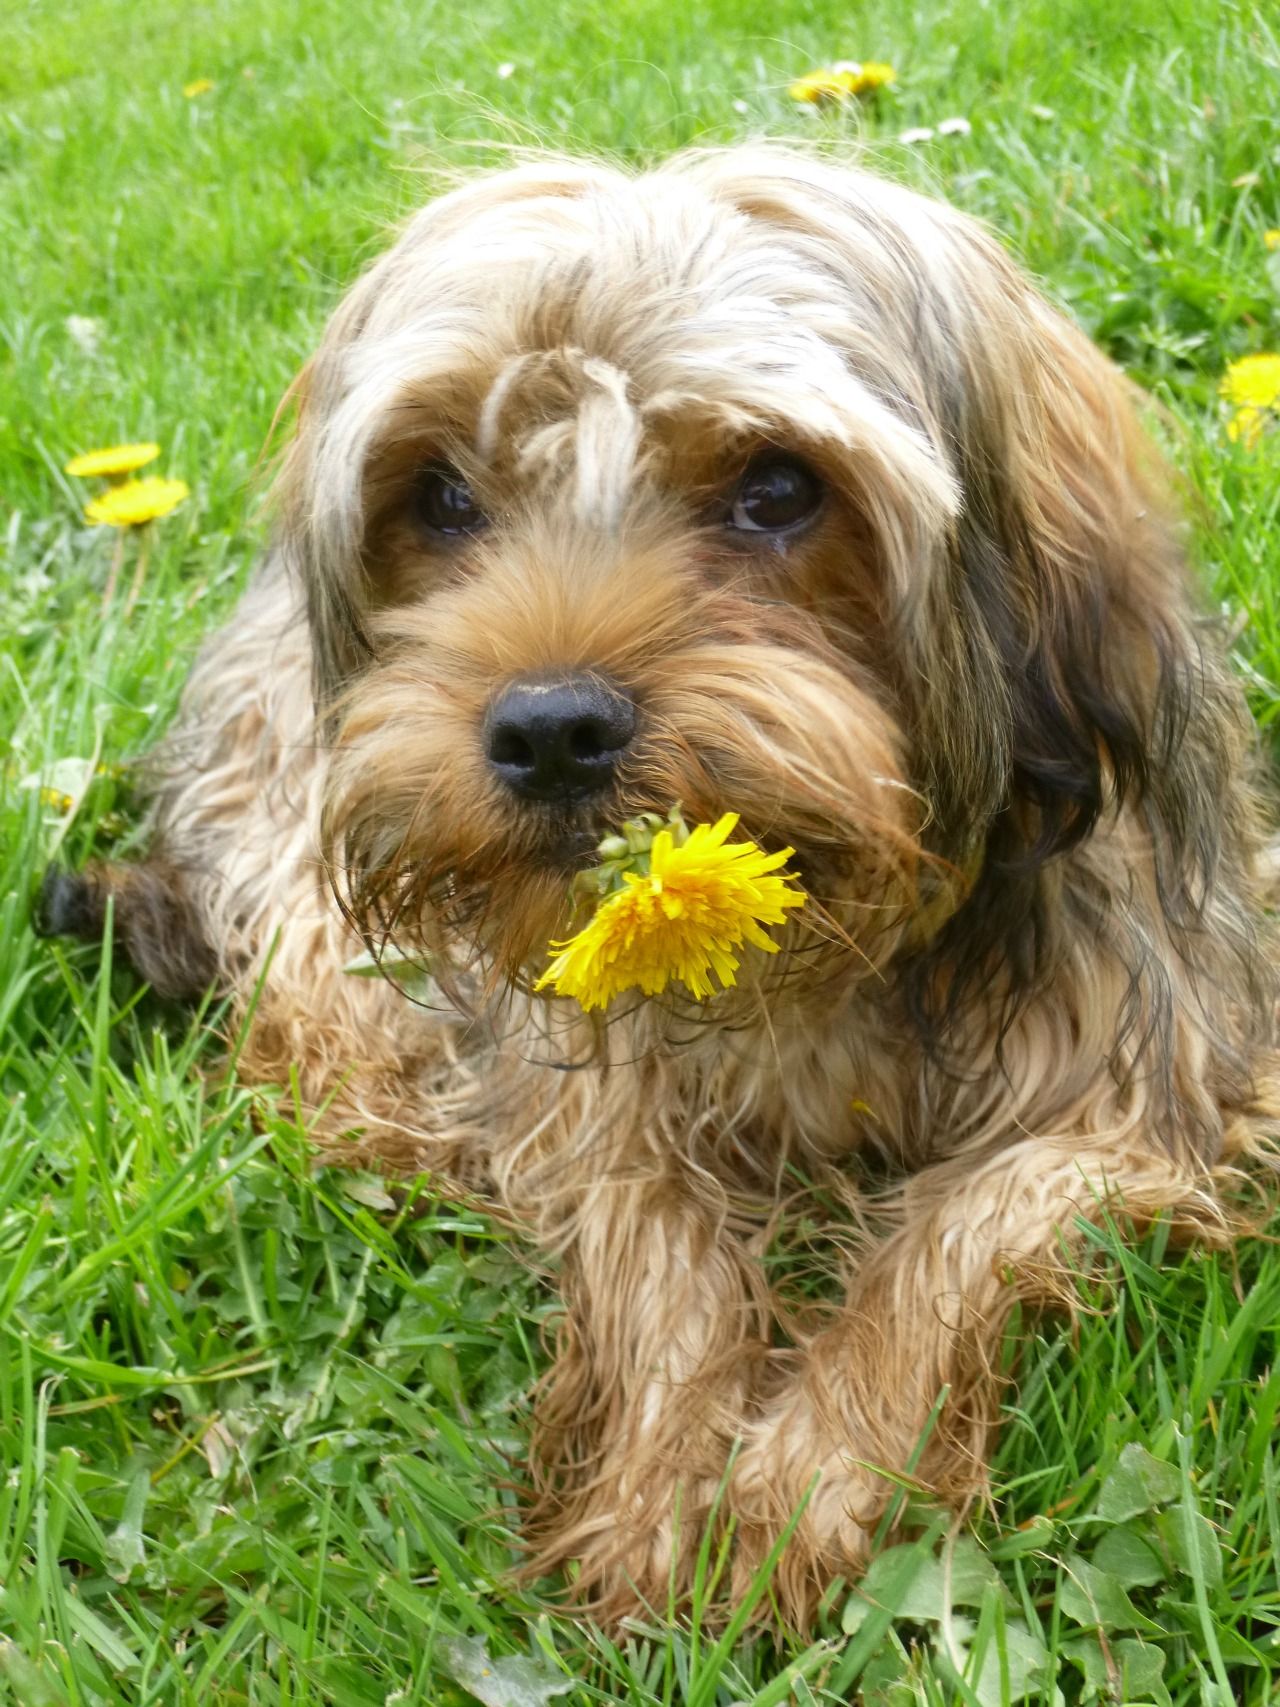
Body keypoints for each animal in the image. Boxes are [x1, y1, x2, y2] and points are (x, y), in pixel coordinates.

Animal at [37, 146, 1276, 1625]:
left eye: (779, 488)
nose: (549, 731)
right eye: (441, 495)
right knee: (308, 1024)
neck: (825, 934)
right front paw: (655, 1483)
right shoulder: (587, 1078)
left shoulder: (1152, 1086)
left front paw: (819, 1472)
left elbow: (962, 1229)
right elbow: (647, 1236)